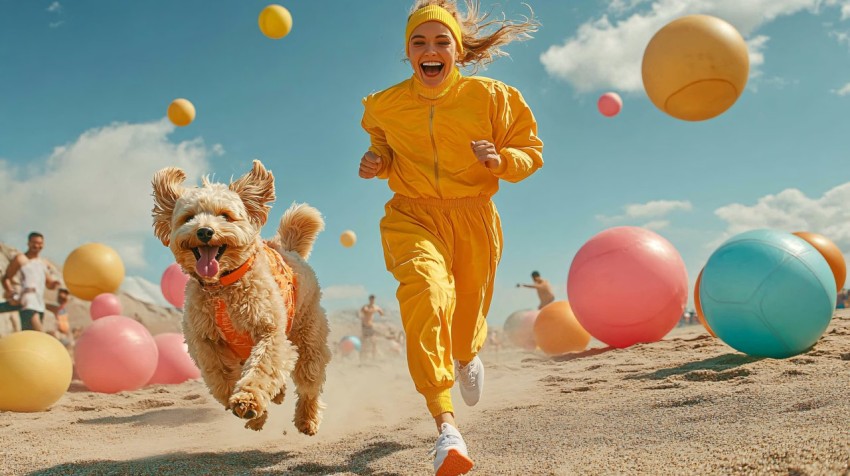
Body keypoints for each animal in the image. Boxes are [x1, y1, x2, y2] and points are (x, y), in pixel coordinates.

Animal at [151, 160, 330, 436]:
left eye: (225, 215)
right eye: (188, 217)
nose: (205, 231)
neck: (221, 287)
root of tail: (287, 249)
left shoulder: (269, 331)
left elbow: (262, 366)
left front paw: (248, 400)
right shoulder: (206, 341)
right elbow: (222, 377)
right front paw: (253, 413)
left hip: (309, 336)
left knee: (309, 382)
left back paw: (307, 419)